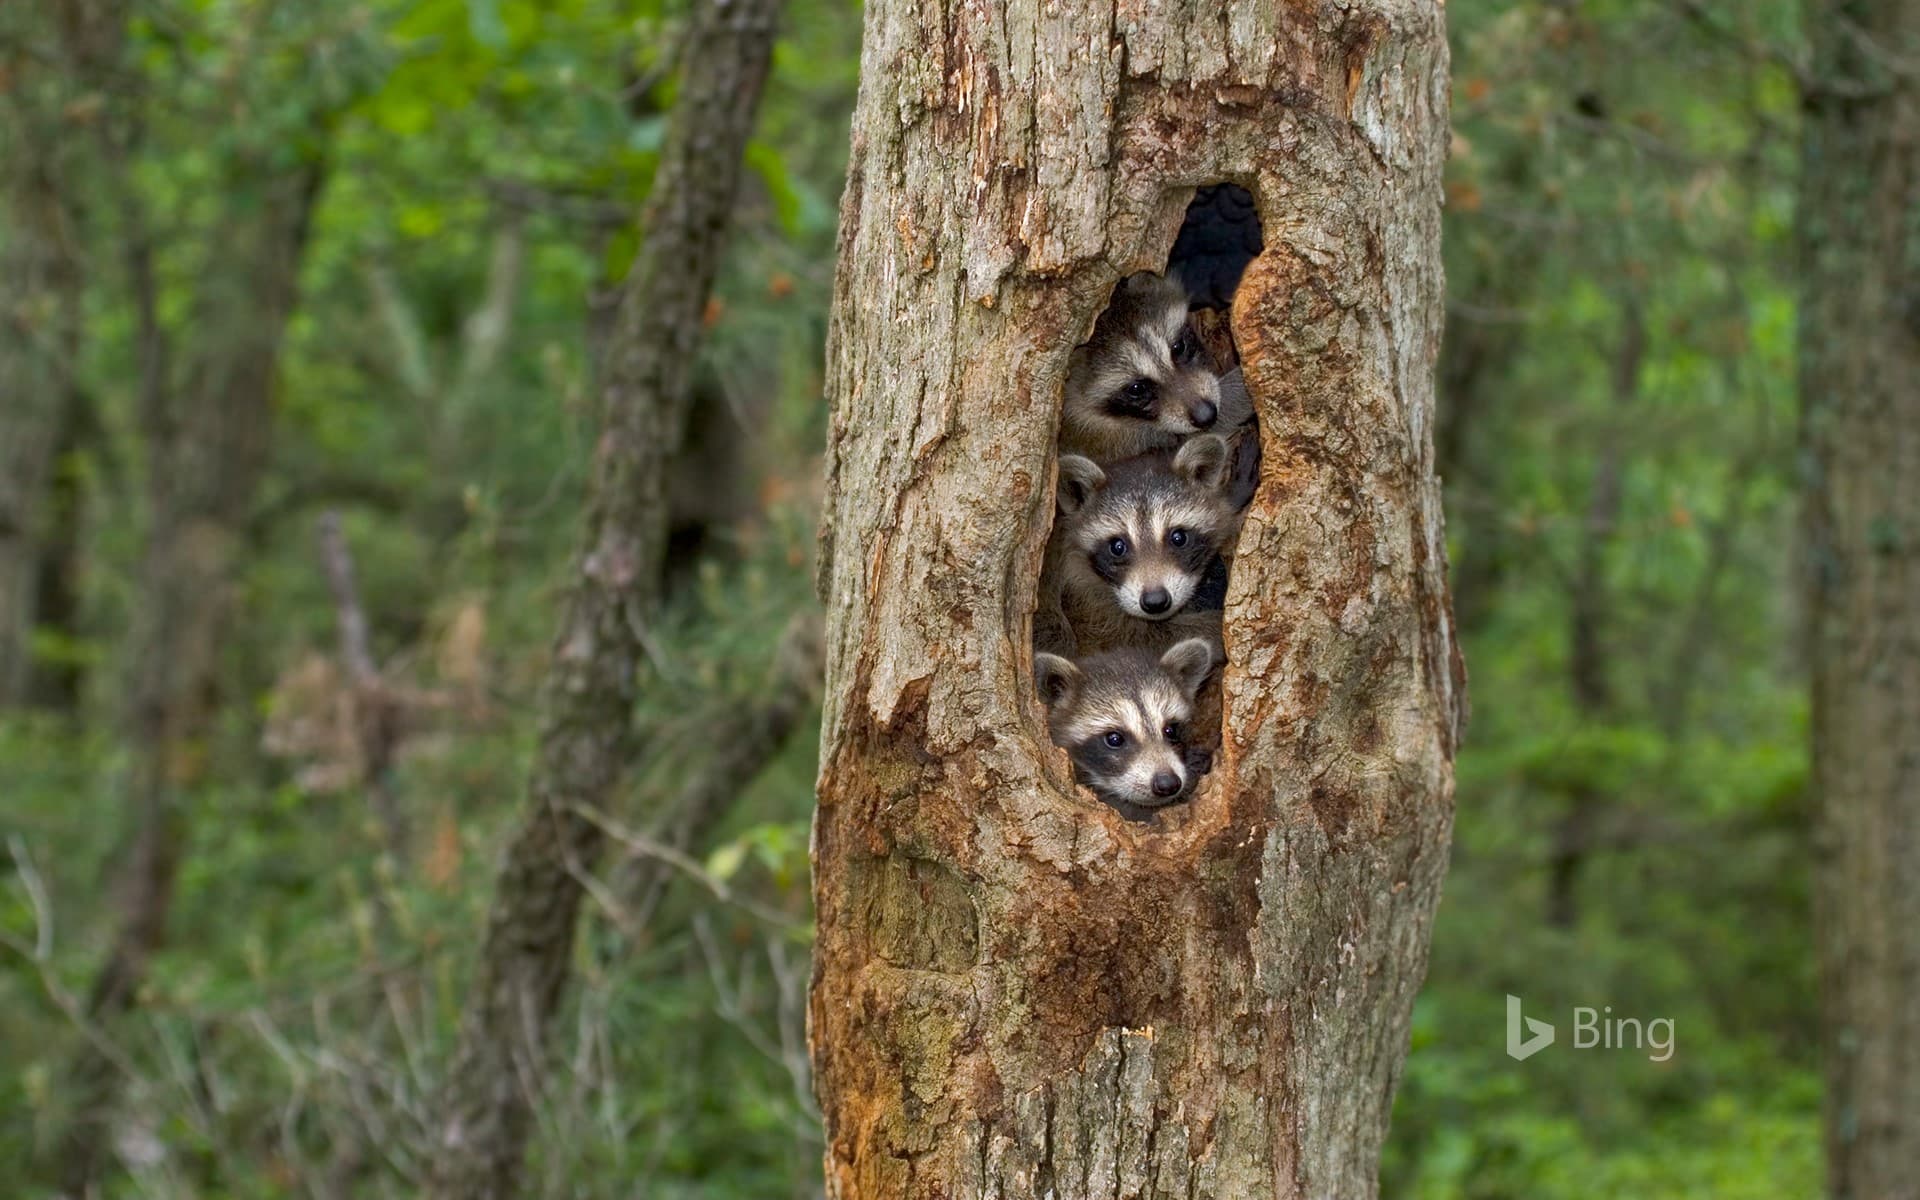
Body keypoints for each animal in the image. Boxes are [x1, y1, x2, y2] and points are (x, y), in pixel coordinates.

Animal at [1041, 433, 1239, 655]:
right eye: (1117, 547)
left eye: (1178, 537)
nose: (1155, 601)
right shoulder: (1084, 607)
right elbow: (1130, 638)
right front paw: (1214, 629)